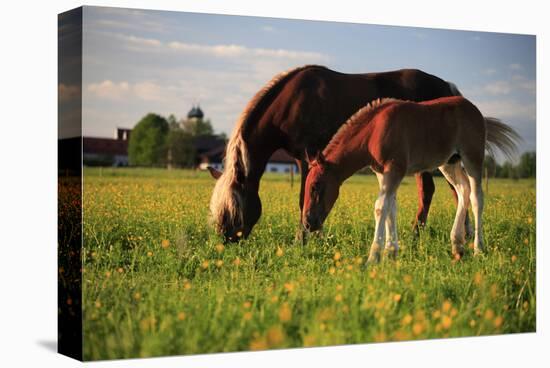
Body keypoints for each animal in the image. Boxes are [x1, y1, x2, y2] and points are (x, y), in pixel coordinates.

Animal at [209, 64, 472, 243]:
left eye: (232, 208)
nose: (226, 240)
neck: (291, 102)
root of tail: (447, 87)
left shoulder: (308, 156)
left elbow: (305, 196)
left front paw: (303, 239)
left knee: (433, 191)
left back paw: (418, 235)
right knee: (454, 190)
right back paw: (464, 233)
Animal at [302, 96, 520, 260]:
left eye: (315, 186)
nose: (308, 223)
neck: (374, 131)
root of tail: (475, 110)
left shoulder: (394, 169)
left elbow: (380, 207)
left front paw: (374, 257)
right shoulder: (382, 173)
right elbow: (391, 208)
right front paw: (391, 253)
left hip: (472, 157)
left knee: (476, 197)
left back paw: (478, 249)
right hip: (449, 162)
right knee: (462, 190)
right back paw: (457, 245)